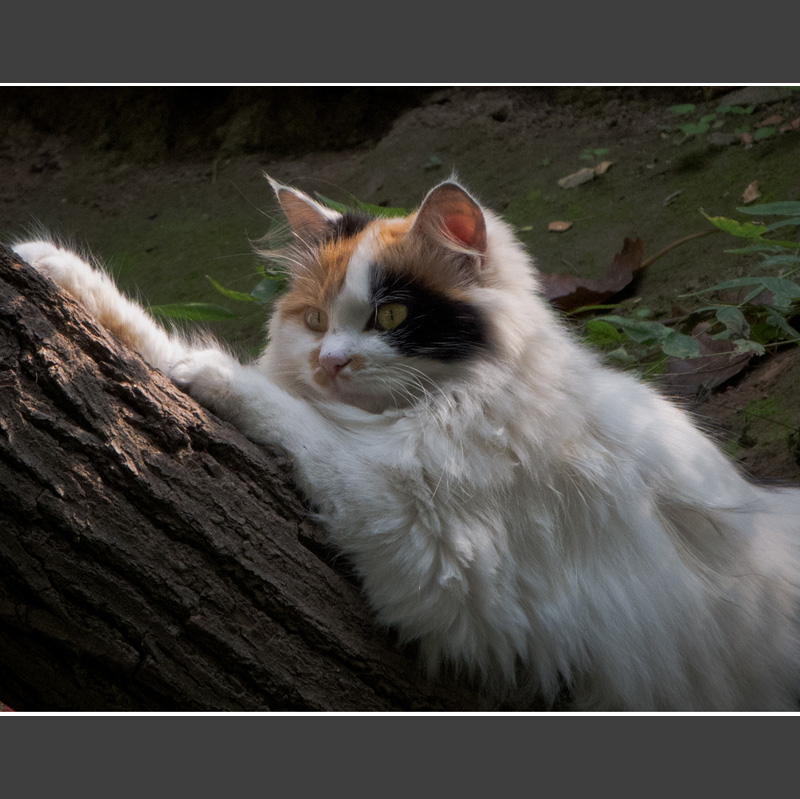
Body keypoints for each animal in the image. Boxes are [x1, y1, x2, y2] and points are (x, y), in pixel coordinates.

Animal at [10, 177, 800, 712]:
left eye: (389, 316)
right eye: (316, 319)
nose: (331, 363)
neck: (458, 401)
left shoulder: (432, 554)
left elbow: (271, 402)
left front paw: (196, 366)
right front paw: (52, 267)